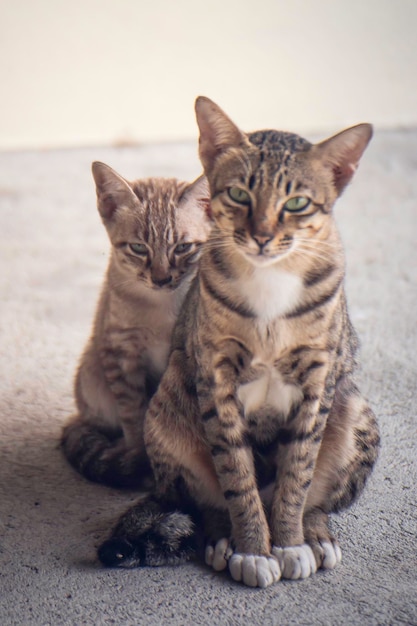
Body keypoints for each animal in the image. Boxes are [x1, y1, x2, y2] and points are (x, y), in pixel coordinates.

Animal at [61, 161, 211, 488]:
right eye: (139, 248)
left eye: (183, 247)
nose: (161, 279)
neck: (161, 308)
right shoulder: (121, 351)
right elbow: (134, 415)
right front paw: (141, 460)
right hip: (92, 375)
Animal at [96, 97, 376, 584]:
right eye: (239, 195)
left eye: (297, 202)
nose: (262, 236)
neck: (269, 282)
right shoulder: (216, 379)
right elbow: (235, 476)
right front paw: (253, 550)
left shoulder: (317, 381)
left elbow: (298, 475)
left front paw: (288, 542)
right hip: (167, 409)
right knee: (202, 497)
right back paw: (222, 536)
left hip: (354, 407)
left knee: (315, 495)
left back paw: (314, 532)